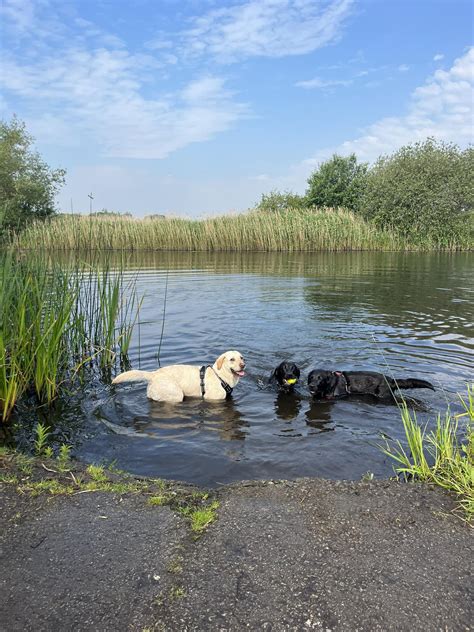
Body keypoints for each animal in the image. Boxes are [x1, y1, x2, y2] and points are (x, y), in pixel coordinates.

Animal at [111, 348, 244, 402]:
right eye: (232, 359)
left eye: (241, 357)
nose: (243, 365)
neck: (220, 376)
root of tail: (153, 374)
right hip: (176, 394)